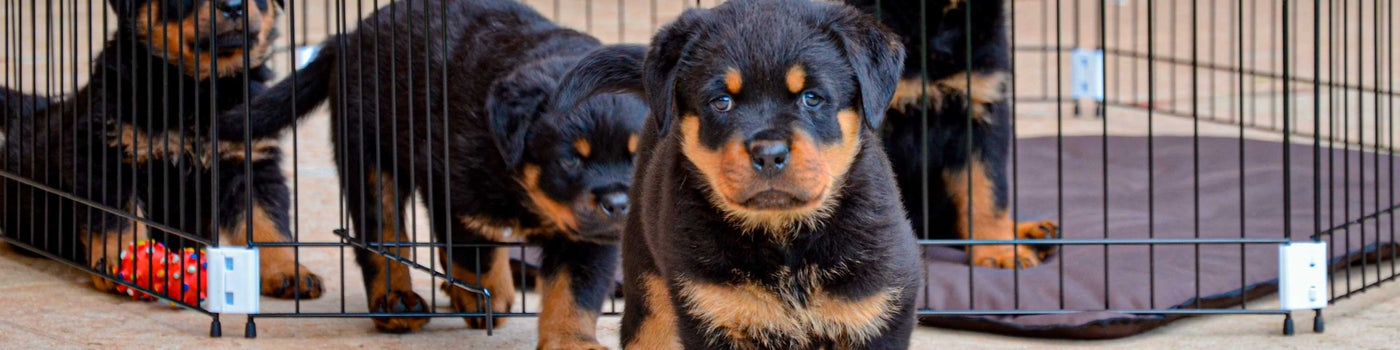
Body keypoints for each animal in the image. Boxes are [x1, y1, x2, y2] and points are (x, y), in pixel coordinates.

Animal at [0, 0, 322, 299]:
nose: (232, 7)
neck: (196, 91)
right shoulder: (105, 155)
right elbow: (120, 218)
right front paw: (123, 263)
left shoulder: (251, 162)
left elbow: (267, 223)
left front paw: (288, 271)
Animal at [215, 0, 646, 344]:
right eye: (570, 160)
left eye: (636, 157)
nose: (619, 204)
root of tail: (348, 36)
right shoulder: (454, 187)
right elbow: (474, 252)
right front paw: (487, 295)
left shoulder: (590, 236)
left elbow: (574, 292)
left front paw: (571, 340)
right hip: (368, 155)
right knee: (383, 236)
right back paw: (396, 302)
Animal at [551, 0, 924, 347]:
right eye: (722, 101)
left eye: (812, 98)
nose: (769, 153)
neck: (785, 242)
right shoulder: (711, 308)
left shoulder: (876, 306)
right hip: (648, 284)